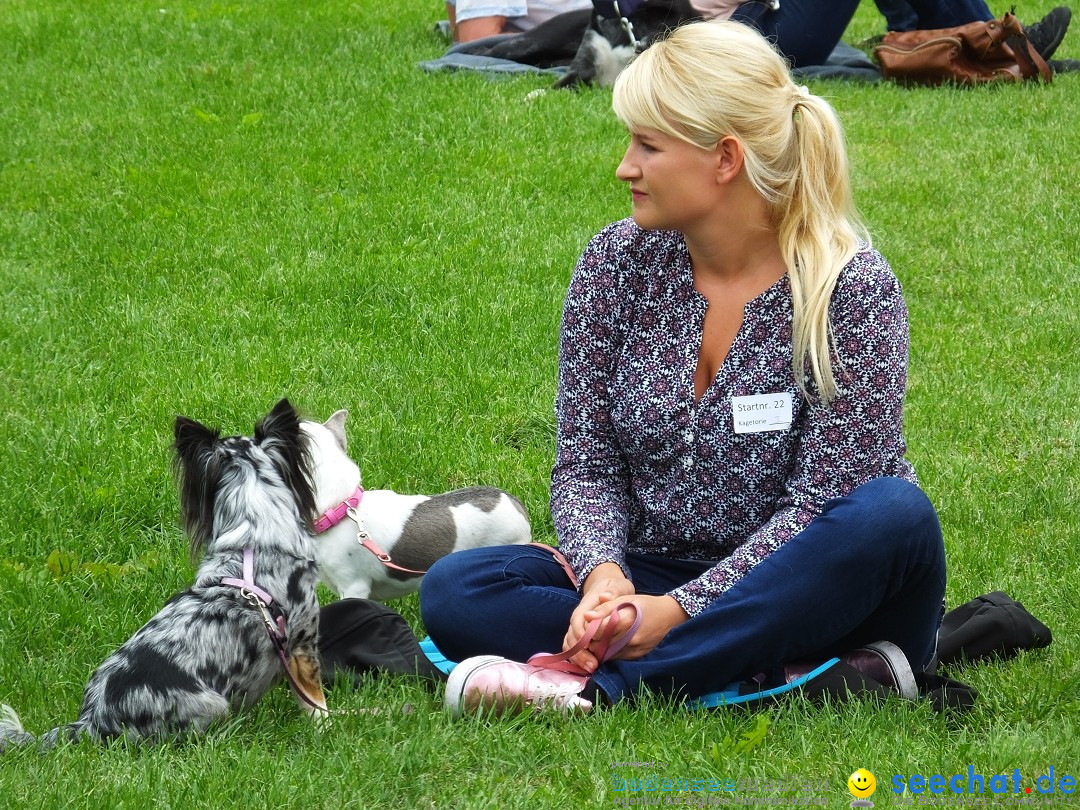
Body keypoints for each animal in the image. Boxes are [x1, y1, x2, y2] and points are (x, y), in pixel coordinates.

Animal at [1, 401, 328, 756]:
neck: (253, 542)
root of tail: (92, 723)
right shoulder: (302, 646)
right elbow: (317, 703)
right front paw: (326, 729)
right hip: (214, 706)